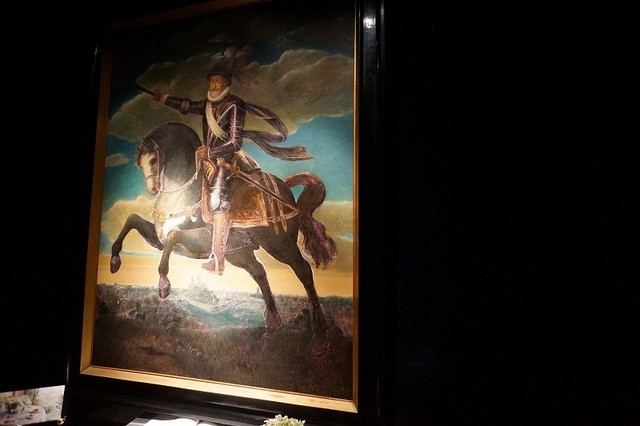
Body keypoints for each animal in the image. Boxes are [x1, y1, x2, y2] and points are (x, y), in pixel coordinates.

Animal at [109, 121, 337, 356]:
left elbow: (173, 236)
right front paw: (115, 261)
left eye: (153, 160)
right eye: (139, 163)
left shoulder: (197, 240)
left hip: (279, 245)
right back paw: (271, 330)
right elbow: (133, 219)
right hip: (240, 253)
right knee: (259, 272)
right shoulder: (158, 238)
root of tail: (283, 188)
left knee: (303, 271)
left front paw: (163, 285)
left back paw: (320, 339)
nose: (152, 189)